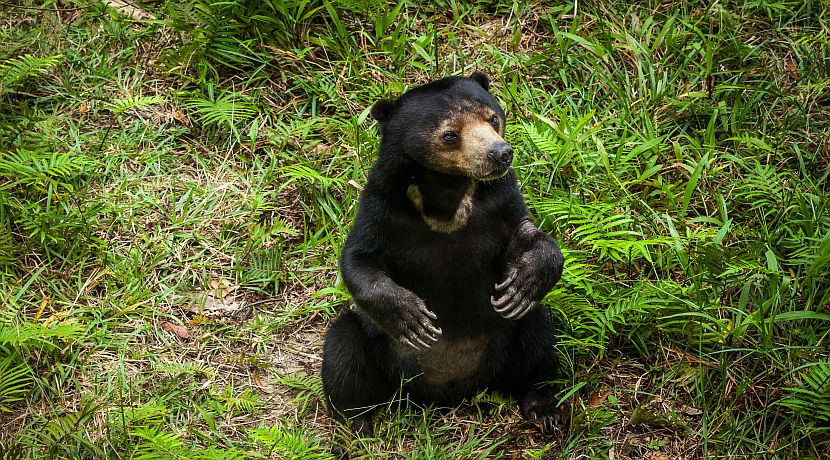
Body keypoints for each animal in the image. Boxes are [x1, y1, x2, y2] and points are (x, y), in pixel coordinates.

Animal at [321, 72, 567, 439]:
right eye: (450, 134)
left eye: (492, 118)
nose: (501, 154)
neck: (447, 191)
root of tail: (447, 394)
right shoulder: (380, 205)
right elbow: (359, 259)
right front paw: (413, 319)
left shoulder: (502, 201)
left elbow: (528, 237)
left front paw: (523, 283)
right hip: (379, 351)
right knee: (343, 349)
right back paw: (356, 424)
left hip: (507, 341)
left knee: (536, 337)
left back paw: (544, 407)